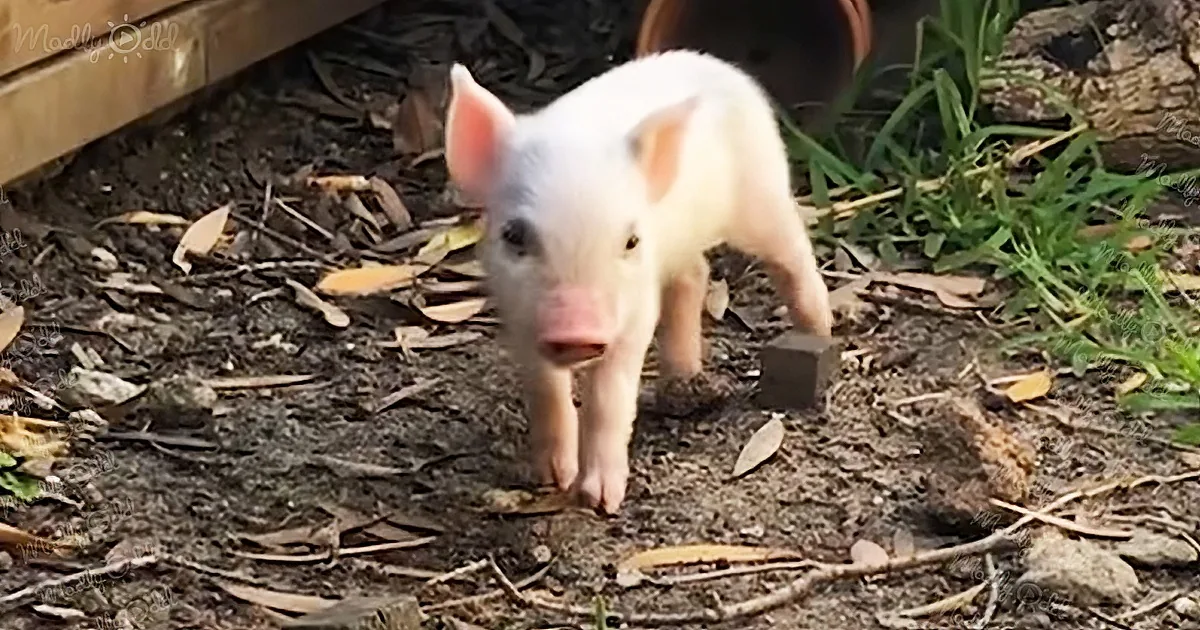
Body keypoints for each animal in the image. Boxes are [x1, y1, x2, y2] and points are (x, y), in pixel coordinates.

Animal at [442, 50, 832, 514]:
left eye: (630, 240)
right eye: (513, 235)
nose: (577, 331)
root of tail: (719, 65)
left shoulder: (637, 313)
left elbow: (609, 396)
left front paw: (600, 502)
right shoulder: (516, 314)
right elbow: (545, 389)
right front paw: (552, 479)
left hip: (762, 195)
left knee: (792, 252)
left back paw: (820, 331)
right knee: (696, 273)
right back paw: (682, 382)